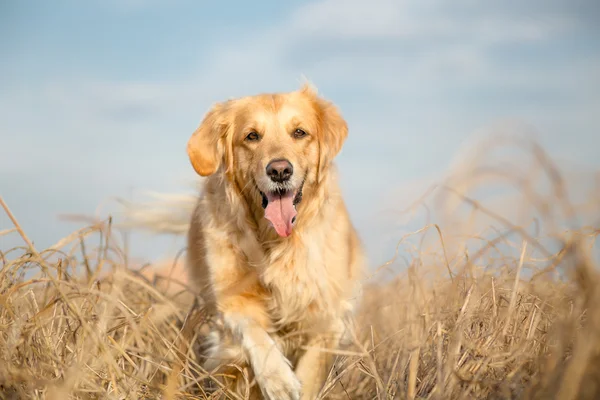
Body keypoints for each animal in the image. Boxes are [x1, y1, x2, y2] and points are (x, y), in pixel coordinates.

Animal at [157, 83, 364, 398]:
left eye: (299, 132)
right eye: (252, 136)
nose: (279, 170)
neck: (274, 240)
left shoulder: (326, 317)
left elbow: (311, 373)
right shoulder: (231, 300)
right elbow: (254, 332)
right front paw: (278, 379)